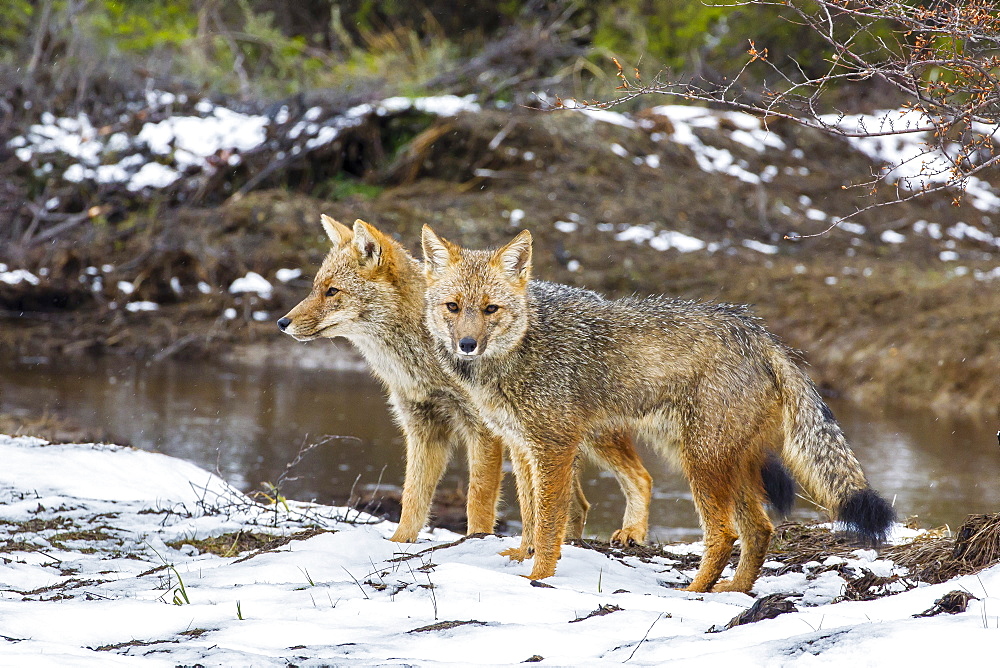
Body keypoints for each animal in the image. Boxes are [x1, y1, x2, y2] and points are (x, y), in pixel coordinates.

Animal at [420, 227, 892, 592]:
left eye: (490, 309)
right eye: (453, 307)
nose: (466, 345)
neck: (522, 349)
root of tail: (756, 330)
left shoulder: (555, 448)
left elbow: (551, 522)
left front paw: (538, 577)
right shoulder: (522, 447)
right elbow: (530, 513)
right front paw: (521, 556)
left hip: (699, 462)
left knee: (724, 534)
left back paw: (694, 592)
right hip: (719, 463)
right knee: (759, 531)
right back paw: (734, 590)